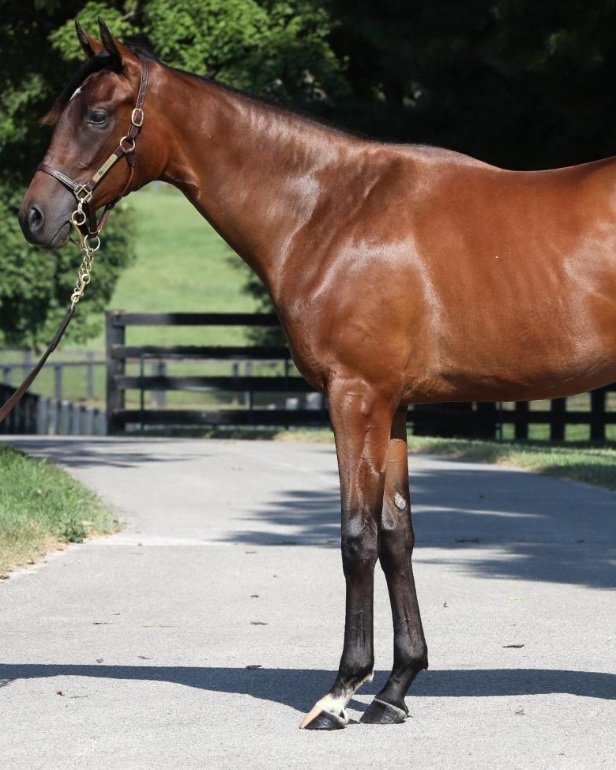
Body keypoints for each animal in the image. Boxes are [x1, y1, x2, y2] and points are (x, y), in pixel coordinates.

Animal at [18, 21, 616, 730]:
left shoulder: (355, 396)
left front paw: (340, 692)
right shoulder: (393, 406)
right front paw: (393, 690)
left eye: (98, 115)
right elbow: (397, 536)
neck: (331, 209)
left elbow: (357, 538)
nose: (33, 216)